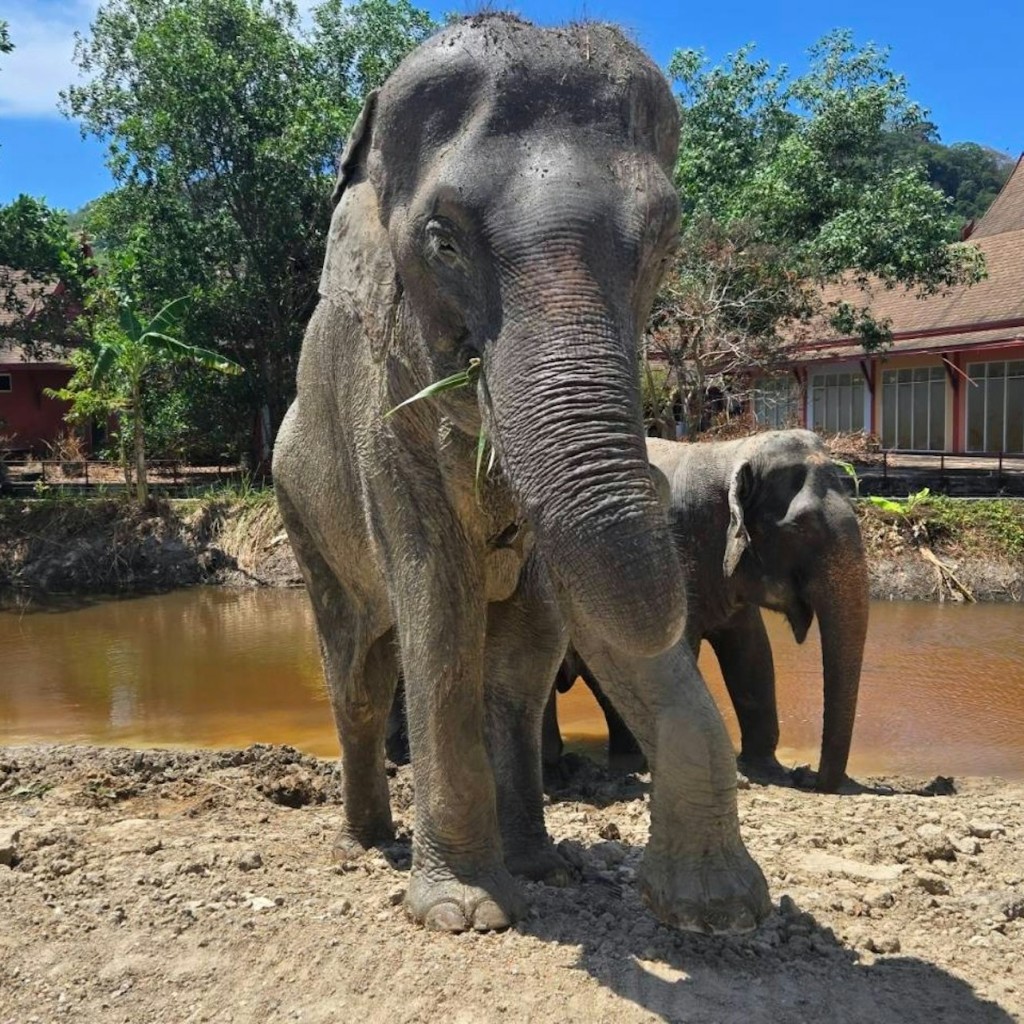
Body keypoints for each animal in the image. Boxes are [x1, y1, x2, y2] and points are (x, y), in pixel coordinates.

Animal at [273, 15, 770, 935]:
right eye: (442, 241)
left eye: (664, 241)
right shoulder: (383, 422)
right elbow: (440, 604)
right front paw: (464, 913)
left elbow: (543, 632)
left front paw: (708, 909)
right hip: (302, 510)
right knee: (358, 675)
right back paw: (364, 844)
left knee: (501, 668)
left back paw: (532, 862)